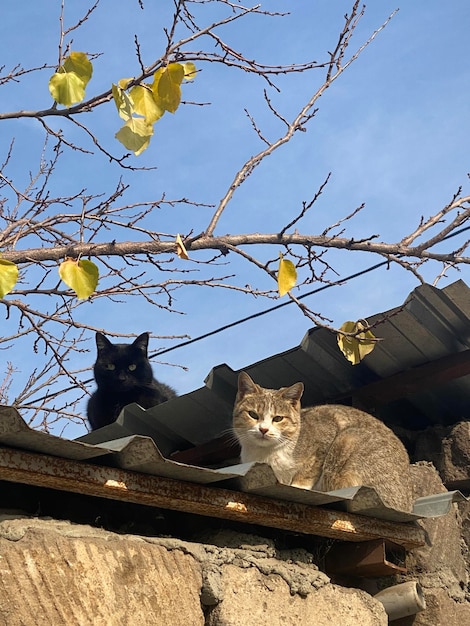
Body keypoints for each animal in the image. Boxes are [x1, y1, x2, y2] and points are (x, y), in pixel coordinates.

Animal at [233, 368, 414, 510]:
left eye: (278, 418)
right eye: (253, 415)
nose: (263, 429)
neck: (266, 453)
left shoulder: (326, 435)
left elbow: (308, 472)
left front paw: (298, 485)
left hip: (348, 439)